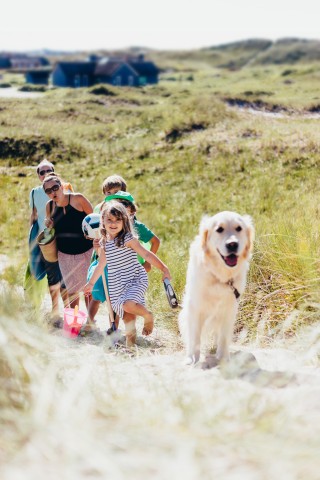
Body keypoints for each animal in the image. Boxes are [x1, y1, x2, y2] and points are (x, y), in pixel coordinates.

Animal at [179, 210, 254, 364]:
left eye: (239, 228)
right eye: (219, 229)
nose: (232, 244)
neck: (220, 275)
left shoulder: (230, 308)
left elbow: (224, 338)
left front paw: (224, 358)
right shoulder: (195, 307)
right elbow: (194, 337)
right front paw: (192, 358)